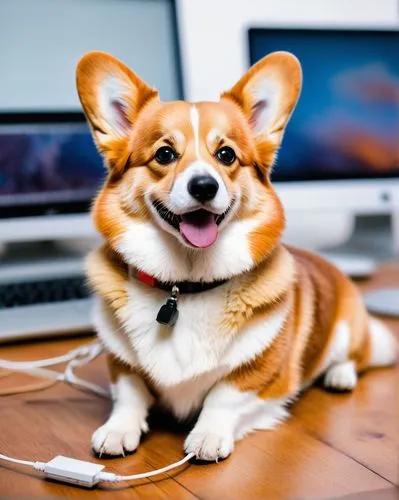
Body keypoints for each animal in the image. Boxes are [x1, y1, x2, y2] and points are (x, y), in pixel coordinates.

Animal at [76, 50, 398, 460]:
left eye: (226, 154)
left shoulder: (267, 377)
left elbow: (224, 395)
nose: (204, 186)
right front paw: (117, 430)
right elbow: (129, 393)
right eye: (165, 153)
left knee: (355, 357)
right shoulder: (121, 363)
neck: (185, 286)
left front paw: (207, 435)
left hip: (348, 331)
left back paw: (339, 375)